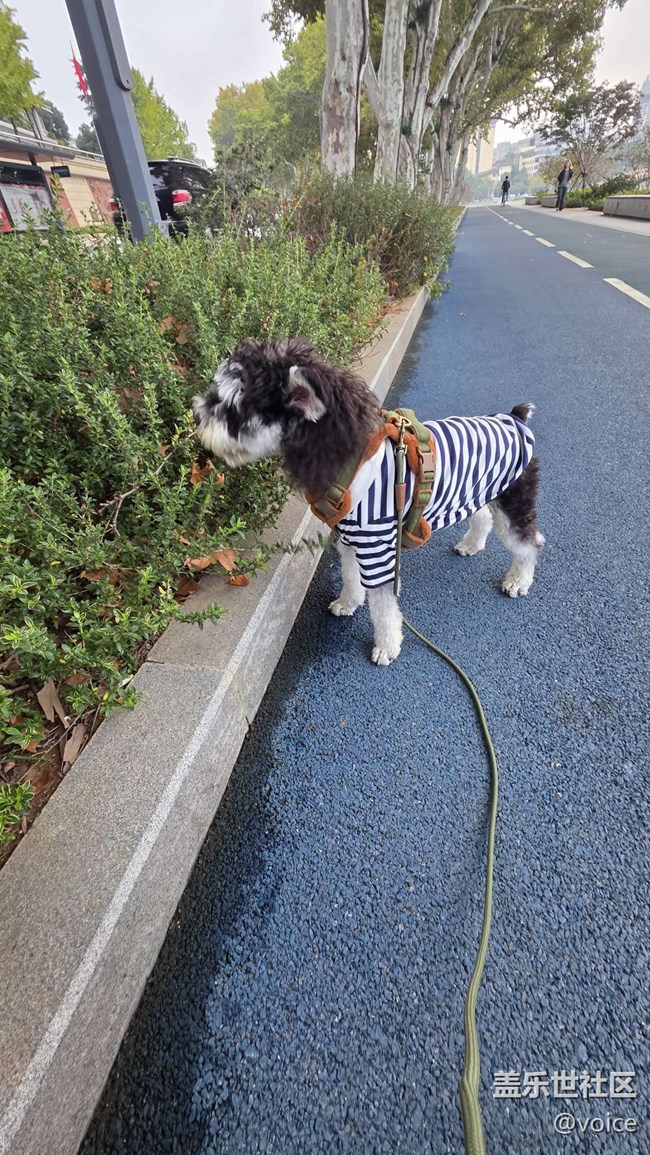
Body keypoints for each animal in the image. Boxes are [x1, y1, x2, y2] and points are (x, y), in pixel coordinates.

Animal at [193, 337, 544, 666]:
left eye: (233, 409)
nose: (197, 418)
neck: (346, 456)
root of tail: (514, 419)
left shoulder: (377, 549)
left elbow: (383, 606)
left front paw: (387, 646)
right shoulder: (349, 540)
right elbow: (351, 578)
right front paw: (347, 603)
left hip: (514, 501)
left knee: (529, 543)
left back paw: (518, 581)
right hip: (479, 491)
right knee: (482, 516)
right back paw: (472, 545)